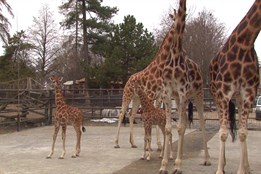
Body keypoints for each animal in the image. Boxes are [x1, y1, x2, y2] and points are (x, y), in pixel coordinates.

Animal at [207, 0, 260, 173]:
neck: (245, 43)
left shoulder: (249, 93)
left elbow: (243, 133)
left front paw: (243, 169)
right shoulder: (224, 92)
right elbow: (223, 132)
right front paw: (219, 169)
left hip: (239, 98)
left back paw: (247, 166)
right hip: (216, 95)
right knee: (221, 126)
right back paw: (223, 164)